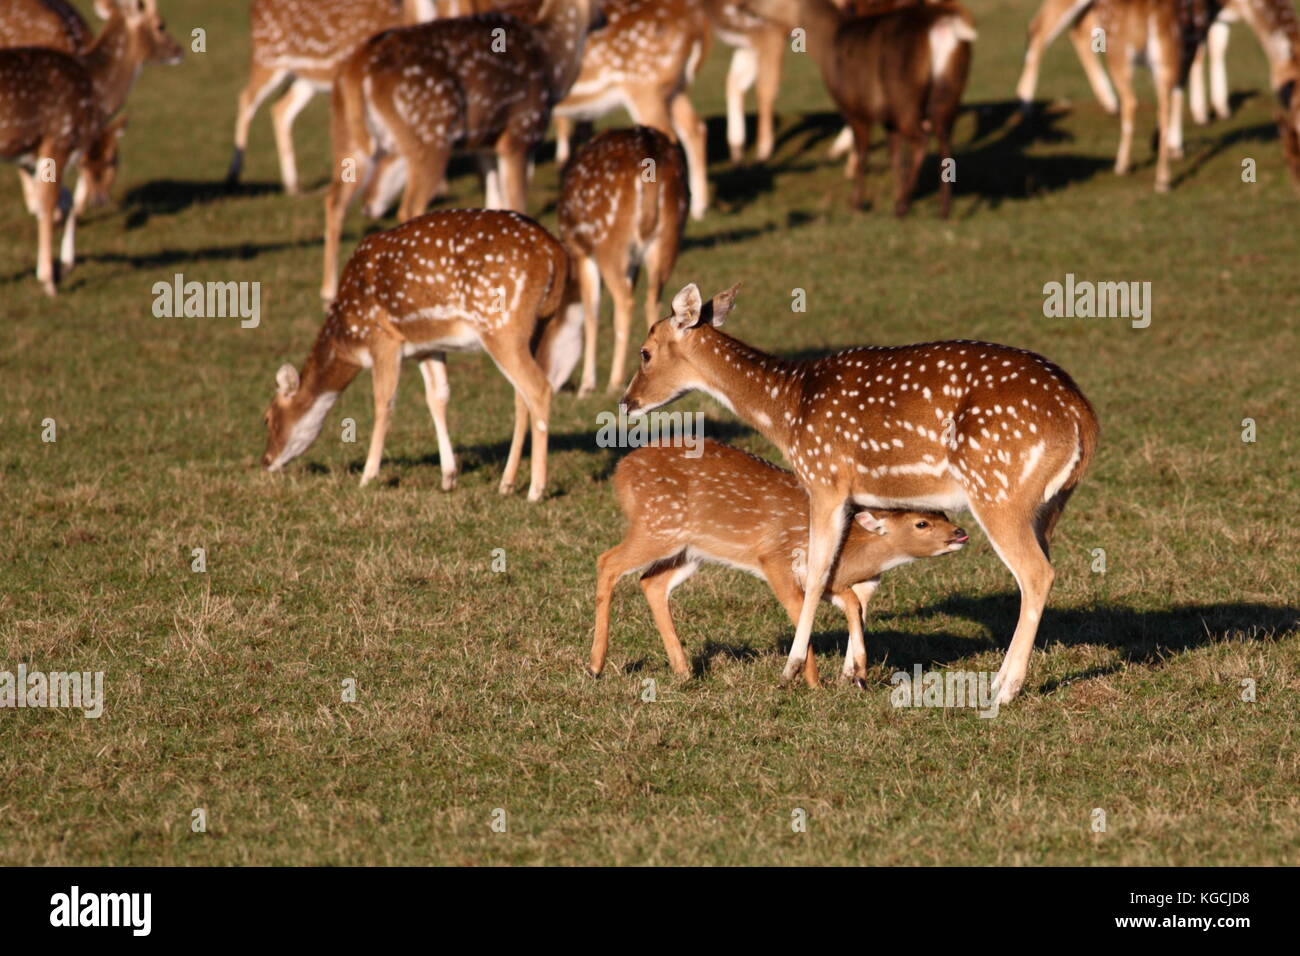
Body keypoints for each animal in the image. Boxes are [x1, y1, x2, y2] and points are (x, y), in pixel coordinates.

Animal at [263, 209, 583, 499]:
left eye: (267, 418)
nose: (265, 460)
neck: (349, 335)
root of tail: (555, 252)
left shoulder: (383, 337)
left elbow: (384, 401)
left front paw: (367, 476)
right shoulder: (427, 346)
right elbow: (437, 398)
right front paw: (448, 477)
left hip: (501, 324)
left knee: (539, 388)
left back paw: (536, 490)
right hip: (535, 327)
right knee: (521, 395)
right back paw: (506, 483)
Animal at [321, 0, 602, 303]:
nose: (604, 19)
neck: (553, 62)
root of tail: (357, 69)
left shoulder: (484, 142)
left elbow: (495, 201)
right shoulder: (521, 131)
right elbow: (517, 201)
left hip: (350, 139)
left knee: (334, 199)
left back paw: (328, 289)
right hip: (431, 133)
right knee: (410, 207)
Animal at [558, 126, 688, 397]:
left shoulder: (582, 250)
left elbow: (591, 313)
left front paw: (586, 385)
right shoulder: (634, 263)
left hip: (610, 242)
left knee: (625, 302)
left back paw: (613, 382)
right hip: (669, 235)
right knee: (653, 299)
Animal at [591, 439, 969, 685]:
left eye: (942, 513)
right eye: (921, 523)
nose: (961, 532)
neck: (850, 553)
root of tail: (621, 471)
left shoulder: (831, 582)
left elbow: (852, 604)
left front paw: (854, 673)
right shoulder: (775, 559)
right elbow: (802, 613)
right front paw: (811, 682)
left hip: (689, 551)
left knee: (651, 582)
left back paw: (683, 670)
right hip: (658, 525)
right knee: (607, 560)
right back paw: (596, 665)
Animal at [746, 0, 975, 217]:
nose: (745, 6)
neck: (828, 43)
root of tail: (944, 26)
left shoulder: (854, 107)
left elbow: (862, 154)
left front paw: (856, 203)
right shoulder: (887, 117)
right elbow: (894, 157)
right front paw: (895, 192)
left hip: (904, 95)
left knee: (921, 140)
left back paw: (902, 207)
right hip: (948, 93)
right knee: (944, 140)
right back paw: (942, 208)